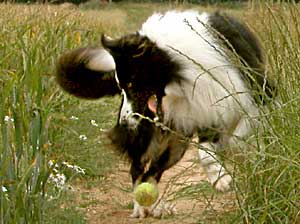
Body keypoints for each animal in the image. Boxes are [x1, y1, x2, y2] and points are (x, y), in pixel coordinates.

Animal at [55, 10, 274, 217]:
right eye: (121, 88)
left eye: (131, 85)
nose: (125, 122)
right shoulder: (206, 109)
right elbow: (208, 152)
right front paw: (222, 179)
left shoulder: (252, 97)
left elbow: (233, 142)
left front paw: (231, 168)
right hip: (157, 140)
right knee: (139, 171)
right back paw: (142, 208)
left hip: (174, 143)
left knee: (152, 172)